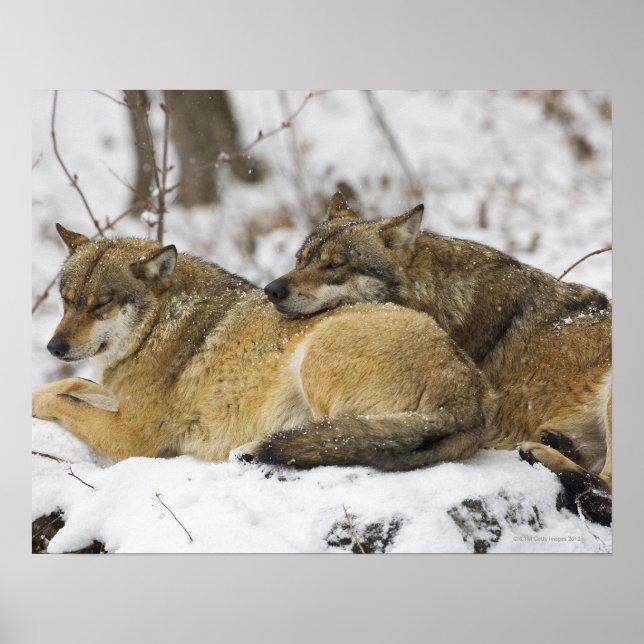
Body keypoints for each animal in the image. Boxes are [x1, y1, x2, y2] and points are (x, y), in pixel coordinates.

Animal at [32, 224, 496, 472]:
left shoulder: (133, 438)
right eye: (67, 300)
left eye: (100, 304)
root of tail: (468, 395)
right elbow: (70, 385)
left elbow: (65, 401)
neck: (159, 327)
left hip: (316, 360)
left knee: (336, 442)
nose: (54, 347)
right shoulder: (115, 398)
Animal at [264, 194, 612, 525]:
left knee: (604, 491)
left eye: (335, 264)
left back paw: (540, 452)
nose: (272, 289)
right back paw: (557, 443)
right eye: (299, 260)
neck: (436, 294)